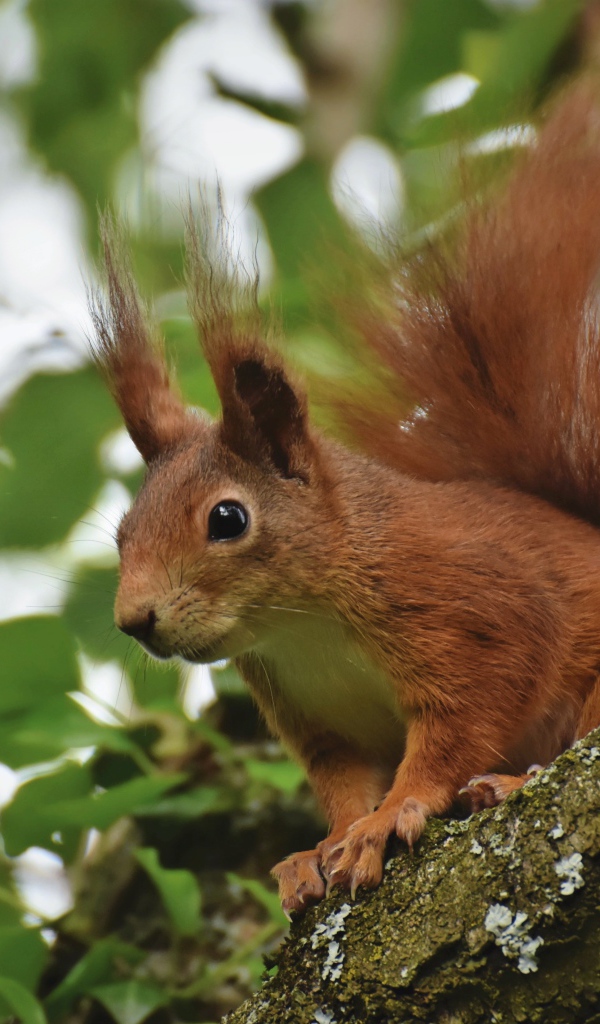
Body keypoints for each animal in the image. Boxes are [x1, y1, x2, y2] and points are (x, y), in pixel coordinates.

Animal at [90, 88, 600, 917]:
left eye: (227, 518)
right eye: (122, 534)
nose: (135, 621)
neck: (304, 624)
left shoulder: (478, 616)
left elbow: (459, 731)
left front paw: (390, 817)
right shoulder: (318, 717)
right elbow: (340, 782)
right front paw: (320, 850)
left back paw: (506, 782)